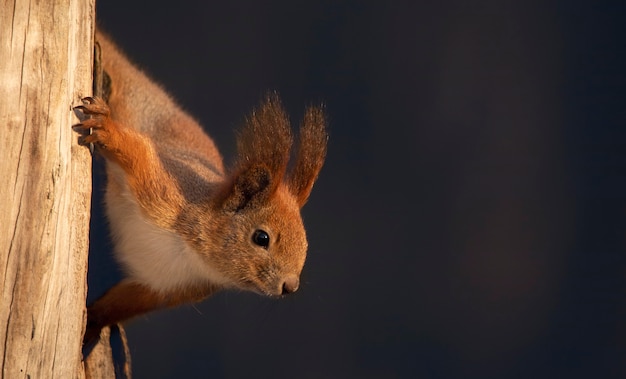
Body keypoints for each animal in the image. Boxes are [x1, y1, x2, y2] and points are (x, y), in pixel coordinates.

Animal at [74, 30, 326, 344]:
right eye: (261, 238)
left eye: (305, 241)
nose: (290, 285)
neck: (193, 255)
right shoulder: (163, 189)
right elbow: (138, 150)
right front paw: (106, 129)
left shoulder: (164, 285)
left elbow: (122, 303)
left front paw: (93, 321)